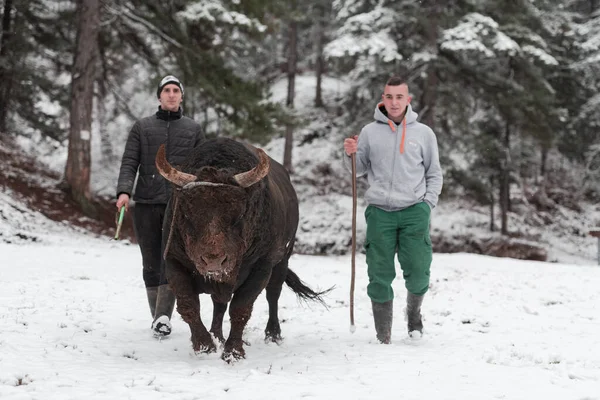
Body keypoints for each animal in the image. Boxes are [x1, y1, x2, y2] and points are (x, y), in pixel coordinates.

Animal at [152, 138, 326, 362]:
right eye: (187, 212)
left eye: (239, 213)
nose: (214, 260)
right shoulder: (174, 261)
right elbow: (188, 305)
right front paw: (205, 345)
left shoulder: (261, 267)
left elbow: (241, 307)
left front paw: (233, 351)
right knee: (219, 303)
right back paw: (217, 335)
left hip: (282, 261)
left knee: (273, 295)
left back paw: (273, 334)